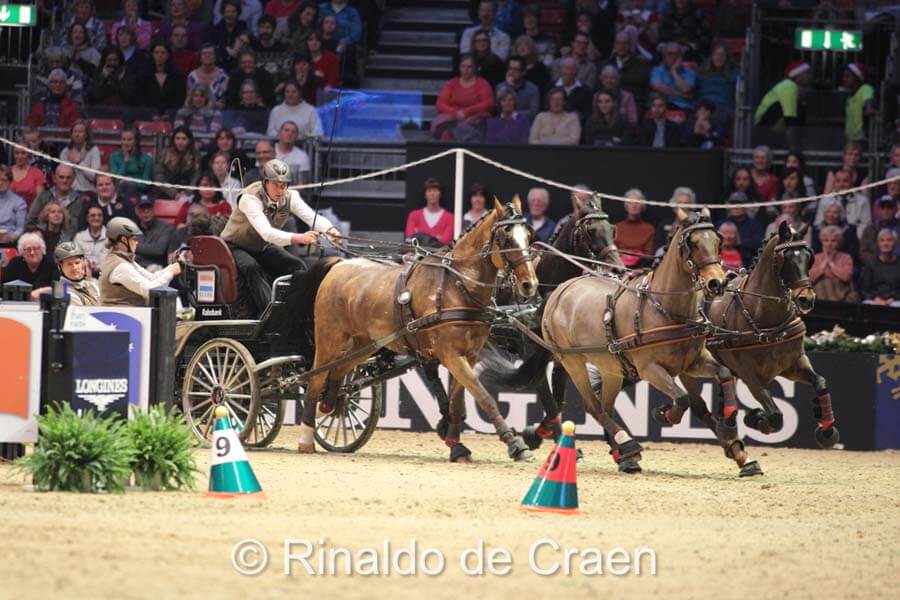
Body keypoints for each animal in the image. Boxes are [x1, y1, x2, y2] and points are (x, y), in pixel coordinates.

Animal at [294, 199, 540, 462]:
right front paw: (515, 444)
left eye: (528, 235)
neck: (457, 287)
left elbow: (457, 401)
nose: (530, 284)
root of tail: (339, 264)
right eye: (506, 238)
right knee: (316, 378)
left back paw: (330, 405)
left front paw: (456, 445)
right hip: (330, 337)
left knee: (338, 371)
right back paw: (306, 438)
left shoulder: (470, 355)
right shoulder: (449, 353)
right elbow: (482, 395)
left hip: (365, 343)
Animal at [540, 213, 760, 476]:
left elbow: (724, 373)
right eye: (693, 243)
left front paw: (731, 431)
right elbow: (682, 399)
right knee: (593, 405)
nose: (717, 283)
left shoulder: (692, 363)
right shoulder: (650, 369)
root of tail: (561, 290)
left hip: (610, 366)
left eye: (718, 241)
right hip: (572, 361)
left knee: (606, 406)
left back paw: (625, 455)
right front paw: (665, 414)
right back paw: (627, 443)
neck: (666, 309)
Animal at [684, 223, 840, 452]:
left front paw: (827, 430)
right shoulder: (750, 376)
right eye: (786, 258)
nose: (806, 299)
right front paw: (755, 417)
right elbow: (775, 415)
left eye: (808, 257)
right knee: (696, 404)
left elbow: (820, 382)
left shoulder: (794, 364)